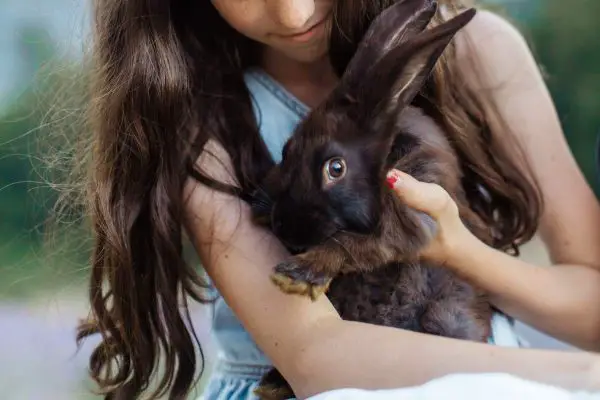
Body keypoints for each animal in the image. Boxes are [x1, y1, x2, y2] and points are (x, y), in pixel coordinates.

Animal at [248, 1, 492, 398]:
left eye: (335, 168)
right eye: (286, 151)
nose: (285, 228)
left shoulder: (409, 217)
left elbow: (351, 243)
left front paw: (298, 275)